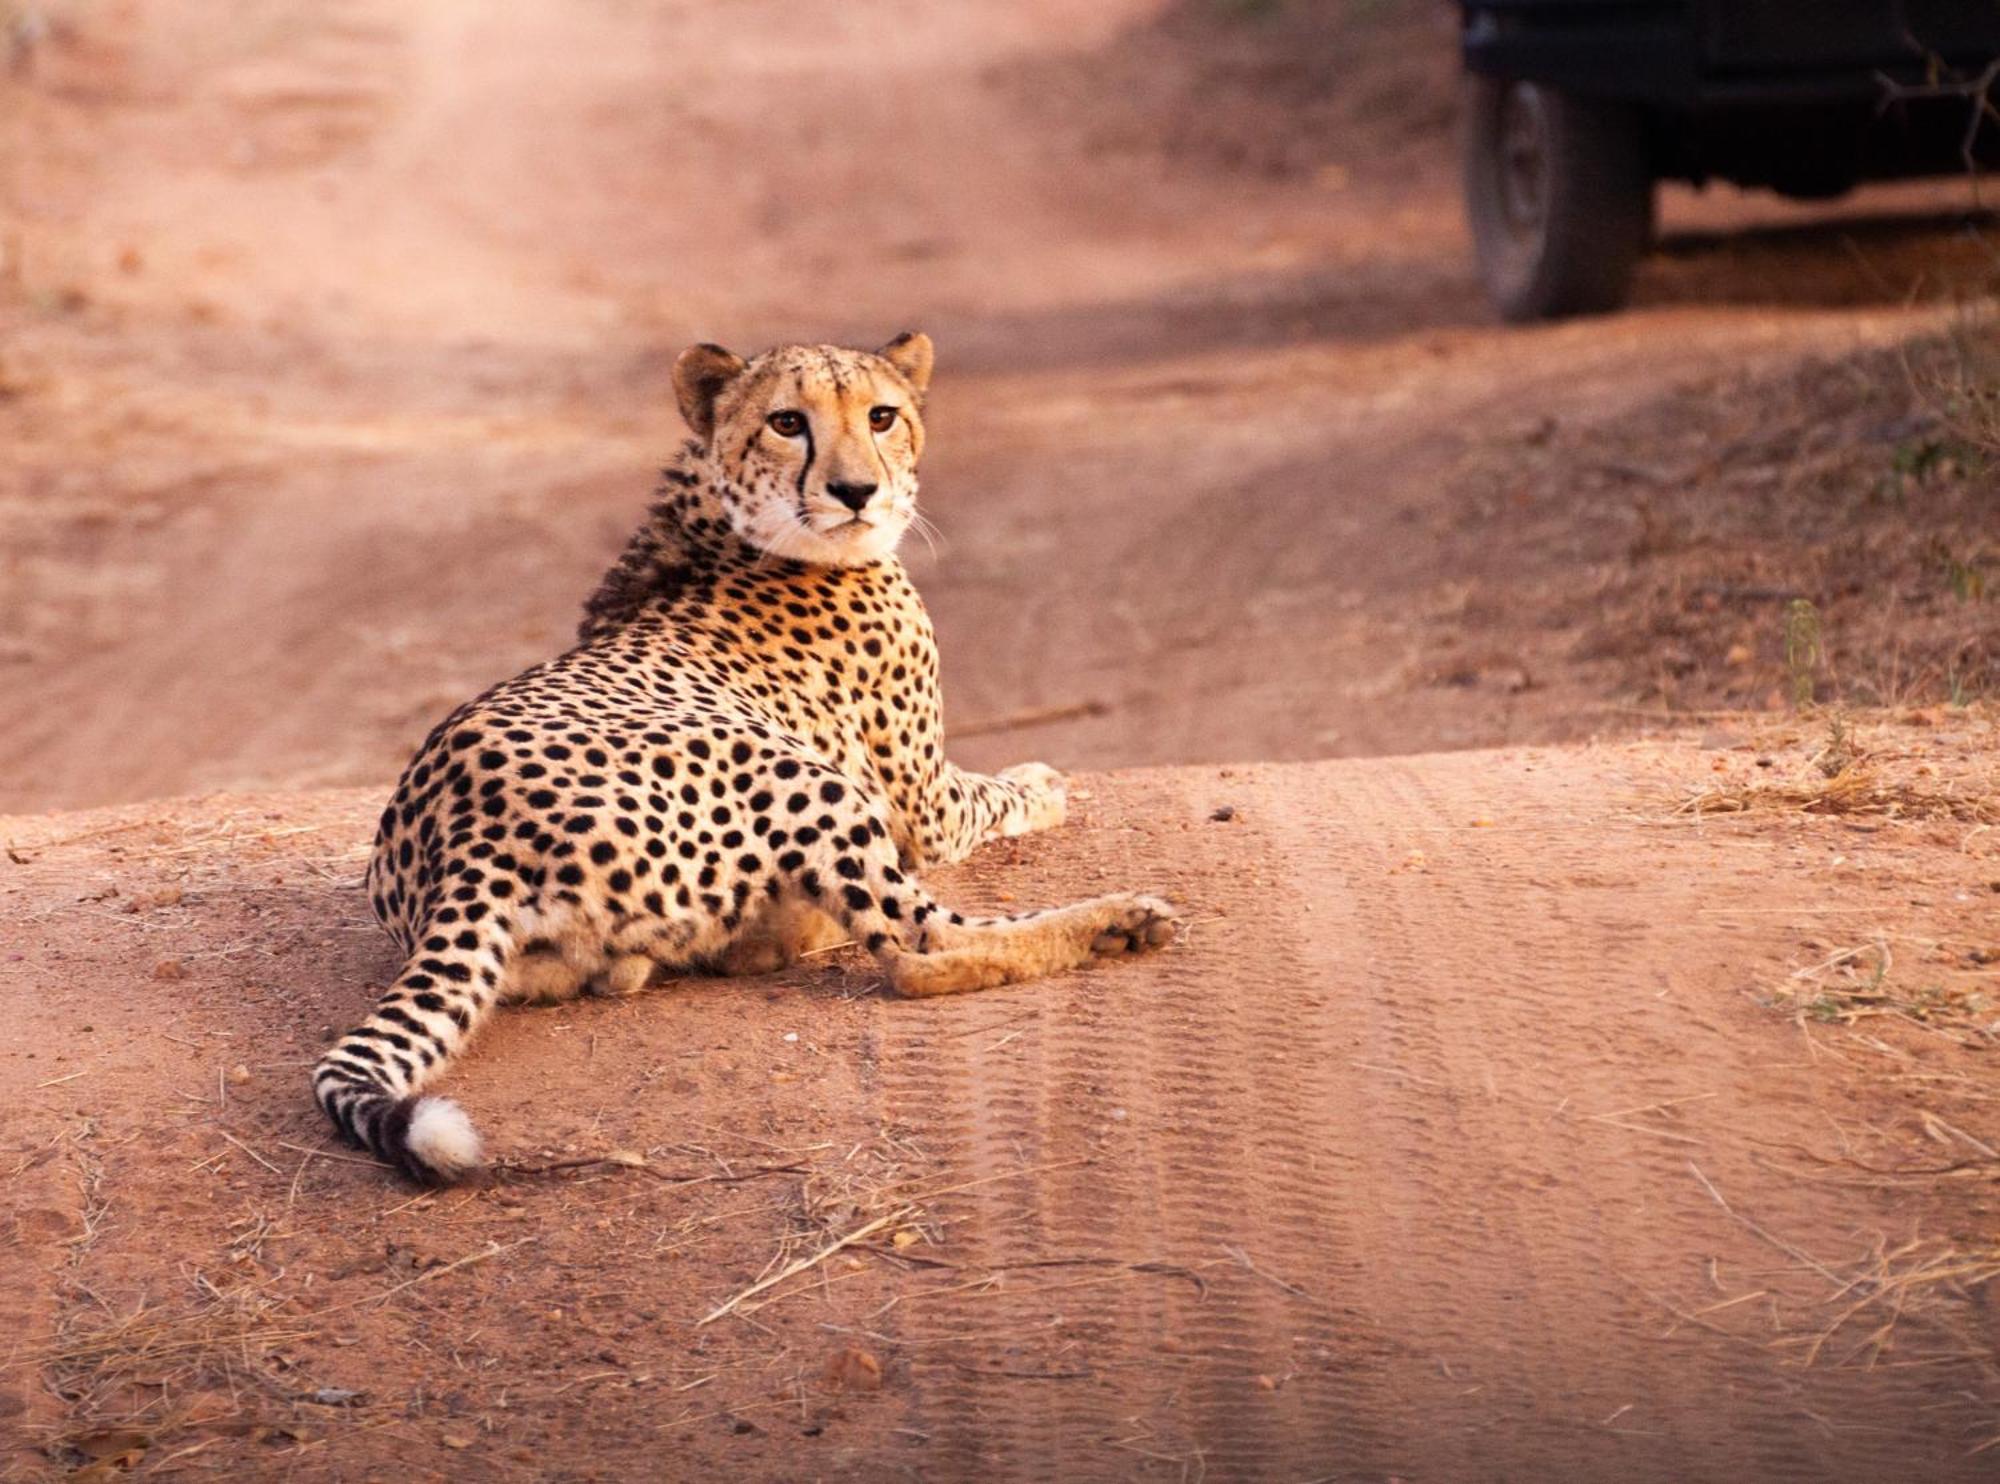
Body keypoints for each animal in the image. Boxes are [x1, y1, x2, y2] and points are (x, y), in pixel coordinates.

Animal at [316, 332, 1168, 1176]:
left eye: (882, 415)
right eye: (788, 422)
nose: (856, 491)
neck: (727, 524)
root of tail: (463, 840)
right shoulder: (925, 806)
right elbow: (995, 793)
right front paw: (1045, 781)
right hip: (808, 783)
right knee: (919, 949)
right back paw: (1117, 920)